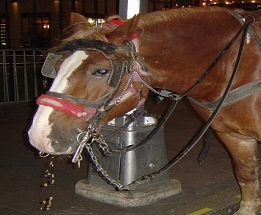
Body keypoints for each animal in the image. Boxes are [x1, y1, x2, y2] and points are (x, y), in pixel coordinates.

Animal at [27, 7, 260, 215]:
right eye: (56, 67)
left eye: (101, 71)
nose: (40, 135)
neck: (236, 63)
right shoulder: (233, 136)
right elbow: (246, 173)